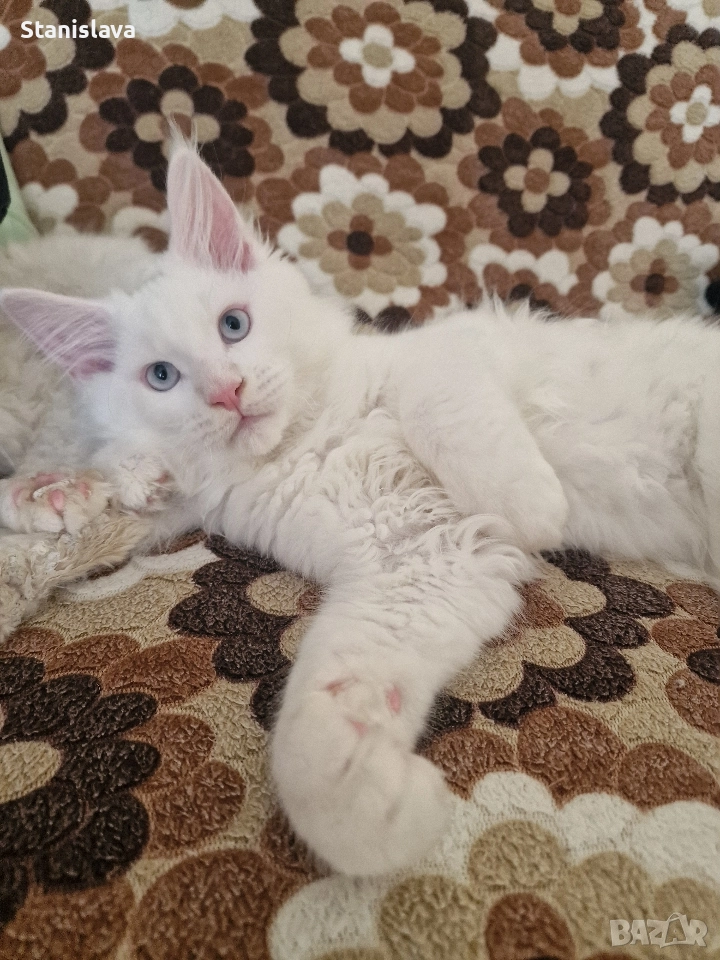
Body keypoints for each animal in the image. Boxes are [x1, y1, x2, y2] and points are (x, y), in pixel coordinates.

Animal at [2, 142, 720, 877]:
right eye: (162, 377)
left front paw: (535, 502)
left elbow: (448, 412)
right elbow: (319, 722)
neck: (309, 437)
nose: (229, 392)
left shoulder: (447, 352)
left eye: (234, 325)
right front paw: (381, 807)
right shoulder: (419, 555)